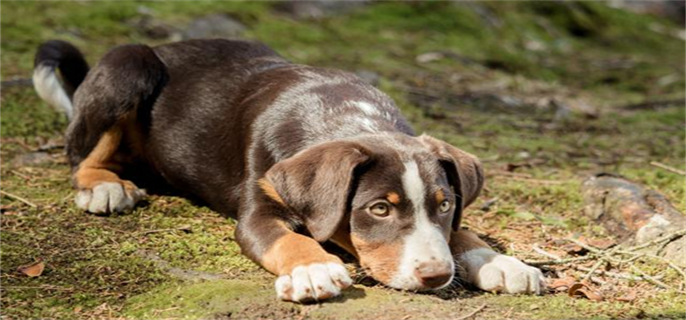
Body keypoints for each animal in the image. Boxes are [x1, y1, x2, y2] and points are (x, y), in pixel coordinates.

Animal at [33, 38, 548, 302]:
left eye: (444, 205)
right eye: (379, 209)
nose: (436, 276)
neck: (349, 117)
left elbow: (463, 232)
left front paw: (499, 261)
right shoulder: (258, 210)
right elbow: (290, 240)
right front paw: (313, 270)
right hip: (130, 66)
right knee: (79, 152)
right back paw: (104, 187)